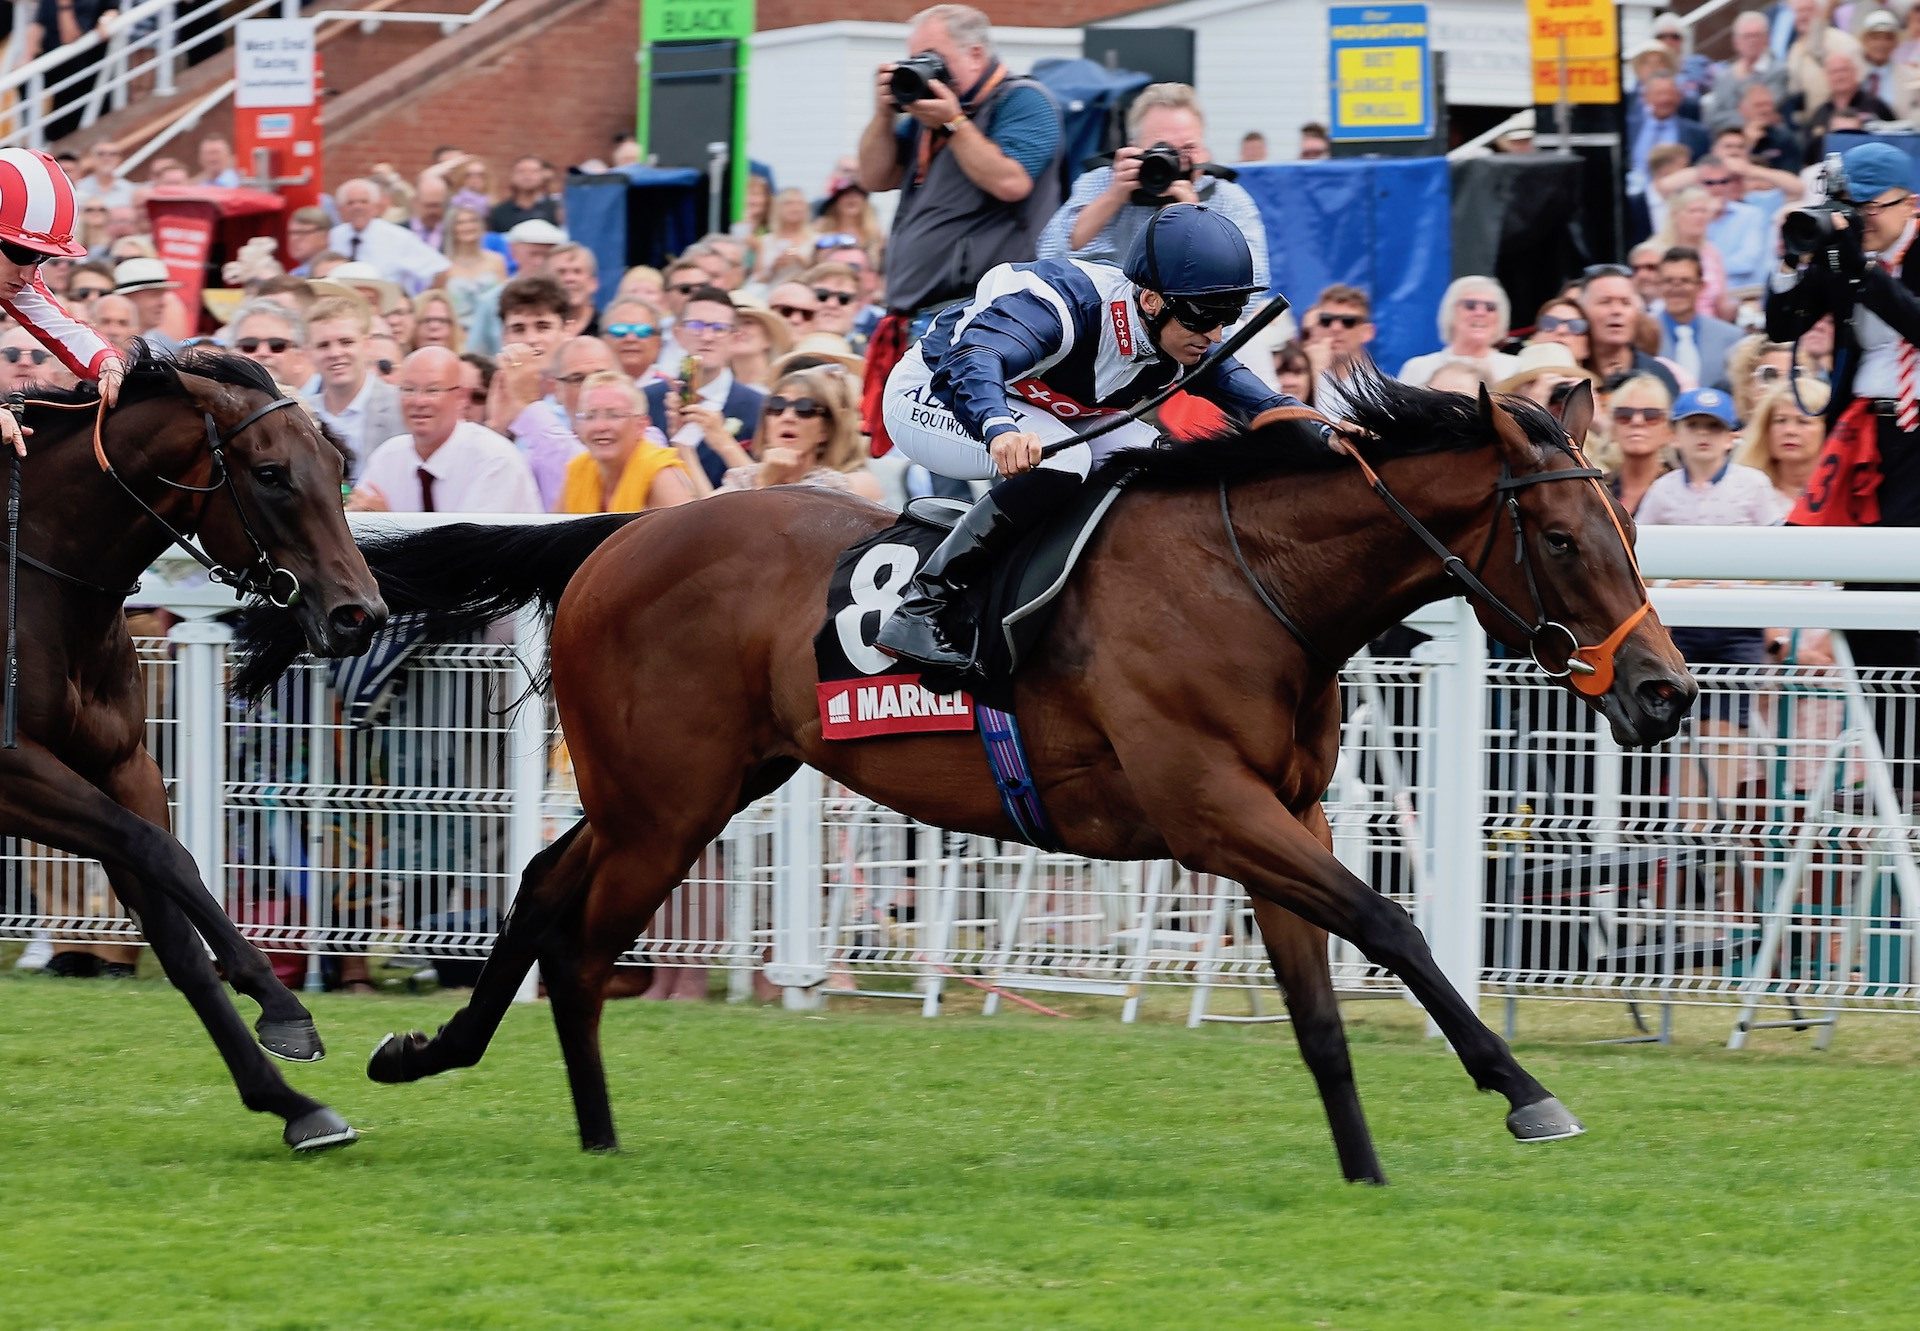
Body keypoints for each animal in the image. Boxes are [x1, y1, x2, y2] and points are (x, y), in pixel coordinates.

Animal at [9, 347, 387, 1144]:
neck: (40, 578)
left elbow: (176, 932)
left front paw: (293, 1103)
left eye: (337, 462)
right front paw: (283, 1004)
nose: (360, 615)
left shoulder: (121, 764)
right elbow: (163, 852)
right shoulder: (13, 768)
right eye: (270, 473)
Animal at [240, 376, 1697, 1183]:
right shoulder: (1211, 808)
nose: (1666, 692)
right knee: (580, 936)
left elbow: (1324, 1006)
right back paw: (567, 1120)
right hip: (665, 799)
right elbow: (1391, 921)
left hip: (691, 788)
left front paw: (1366, 1167)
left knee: (550, 887)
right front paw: (1524, 1092)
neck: (1251, 581)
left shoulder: (1277, 812)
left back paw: (467, 1063)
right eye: (1565, 537)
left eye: (1629, 524)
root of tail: (616, 531)